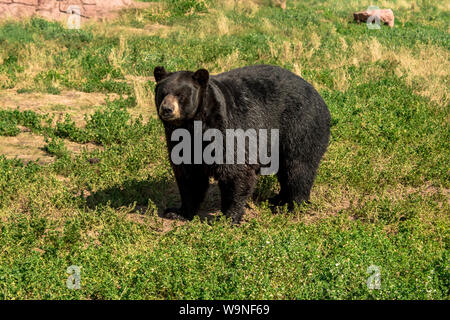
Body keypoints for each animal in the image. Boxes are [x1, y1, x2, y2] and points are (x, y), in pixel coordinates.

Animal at [155, 64, 330, 225]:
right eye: (162, 93)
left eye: (181, 95)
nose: (167, 109)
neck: (194, 125)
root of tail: (318, 94)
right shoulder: (181, 141)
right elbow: (189, 176)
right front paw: (178, 212)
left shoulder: (229, 129)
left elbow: (235, 171)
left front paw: (227, 217)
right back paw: (278, 199)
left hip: (299, 126)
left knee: (298, 167)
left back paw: (291, 205)